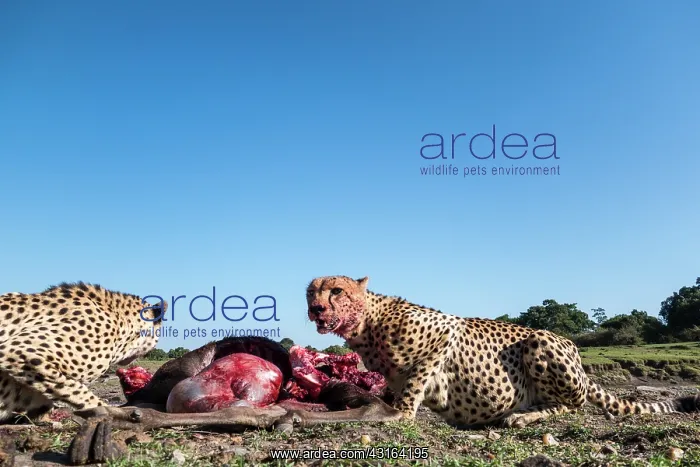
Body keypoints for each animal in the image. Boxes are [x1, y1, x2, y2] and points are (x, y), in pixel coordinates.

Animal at [306, 275, 700, 428]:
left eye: (337, 290)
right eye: (311, 291)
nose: (316, 308)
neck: (367, 323)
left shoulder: (445, 333)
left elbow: (403, 398)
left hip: (540, 341)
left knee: (573, 405)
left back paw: (523, 415)